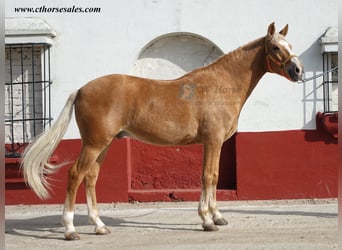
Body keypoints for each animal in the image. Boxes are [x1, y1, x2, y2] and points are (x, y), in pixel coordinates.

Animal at [22, 23, 302, 240]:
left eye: (290, 44)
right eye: (276, 47)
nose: (297, 70)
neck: (220, 84)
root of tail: (80, 89)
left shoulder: (215, 143)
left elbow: (213, 176)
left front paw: (217, 217)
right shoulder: (212, 141)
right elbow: (208, 176)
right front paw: (207, 220)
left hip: (104, 144)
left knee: (91, 177)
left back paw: (99, 226)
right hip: (94, 144)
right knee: (75, 175)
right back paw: (70, 229)